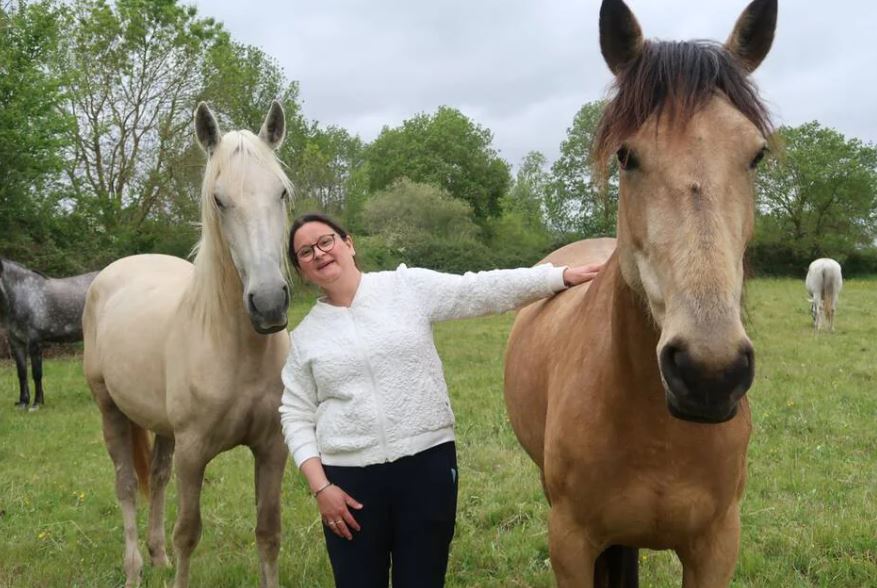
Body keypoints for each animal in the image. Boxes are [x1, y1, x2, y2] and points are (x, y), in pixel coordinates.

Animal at [0, 260, 97, 412]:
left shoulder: (34, 342)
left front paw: (36, 404)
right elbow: (22, 373)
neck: (23, 294)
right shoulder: (16, 342)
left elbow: (36, 373)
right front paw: (23, 403)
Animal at [83, 102, 292, 588]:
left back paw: (156, 557)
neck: (233, 349)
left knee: (156, 479)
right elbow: (189, 534)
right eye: (219, 199)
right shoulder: (194, 453)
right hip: (110, 410)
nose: (269, 304)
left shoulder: (272, 448)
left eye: (281, 193)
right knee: (126, 486)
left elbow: (268, 531)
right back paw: (134, 569)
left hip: (161, 428)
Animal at [504, 2, 776, 584]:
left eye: (756, 155)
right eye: (627, 156)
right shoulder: (571, 543)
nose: (709, 372)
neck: (658, 432)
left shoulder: (716, 546)